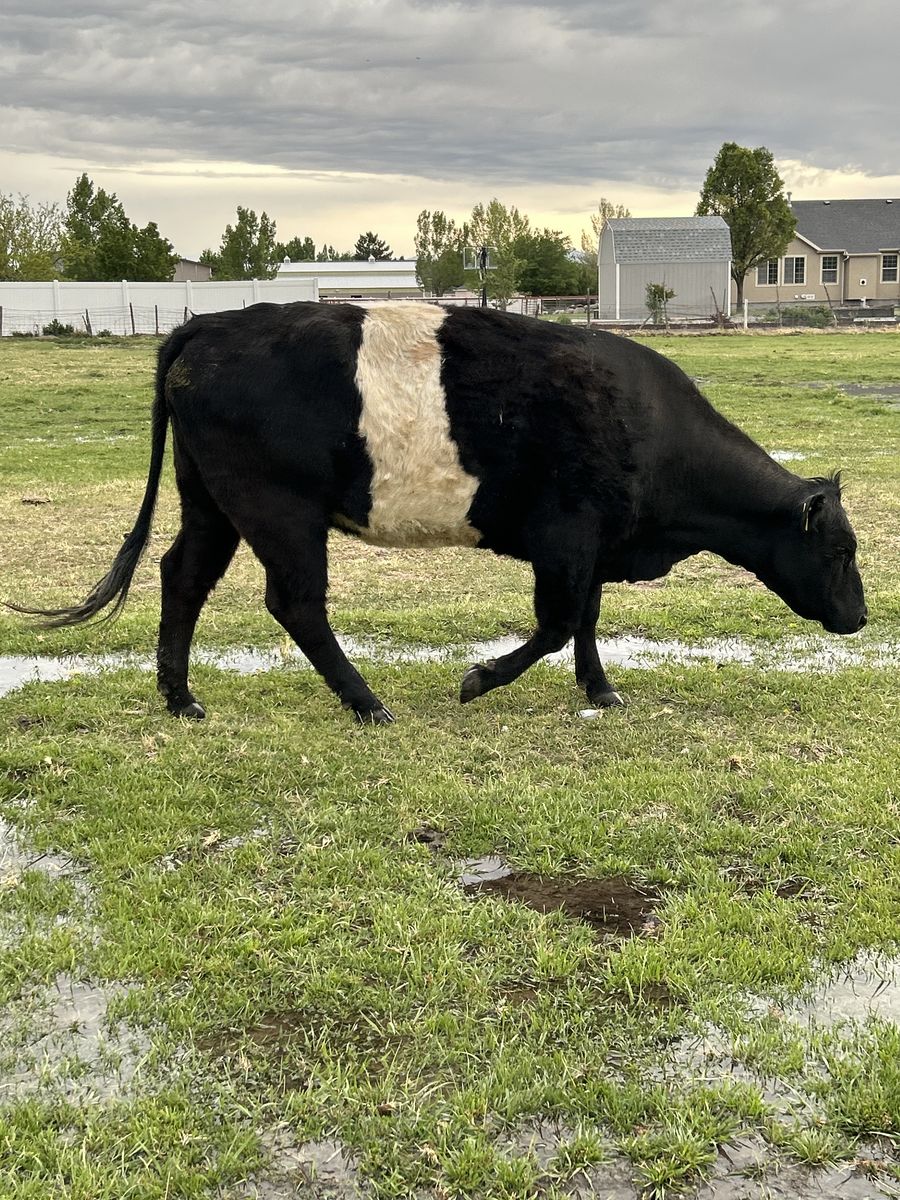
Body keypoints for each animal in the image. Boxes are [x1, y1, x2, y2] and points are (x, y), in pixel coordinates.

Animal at [16, 302, 867, 724]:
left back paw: (181, 698)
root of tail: (207, 325)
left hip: (211, 502)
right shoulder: (567, 536)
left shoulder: (592, 542)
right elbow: (558, 623)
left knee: (182, 578)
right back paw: (366, 702)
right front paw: (479, 679)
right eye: (840, 553)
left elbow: (585, 621)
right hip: (278, 510)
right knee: (295, 603)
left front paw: (599, 690)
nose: (861, 617)